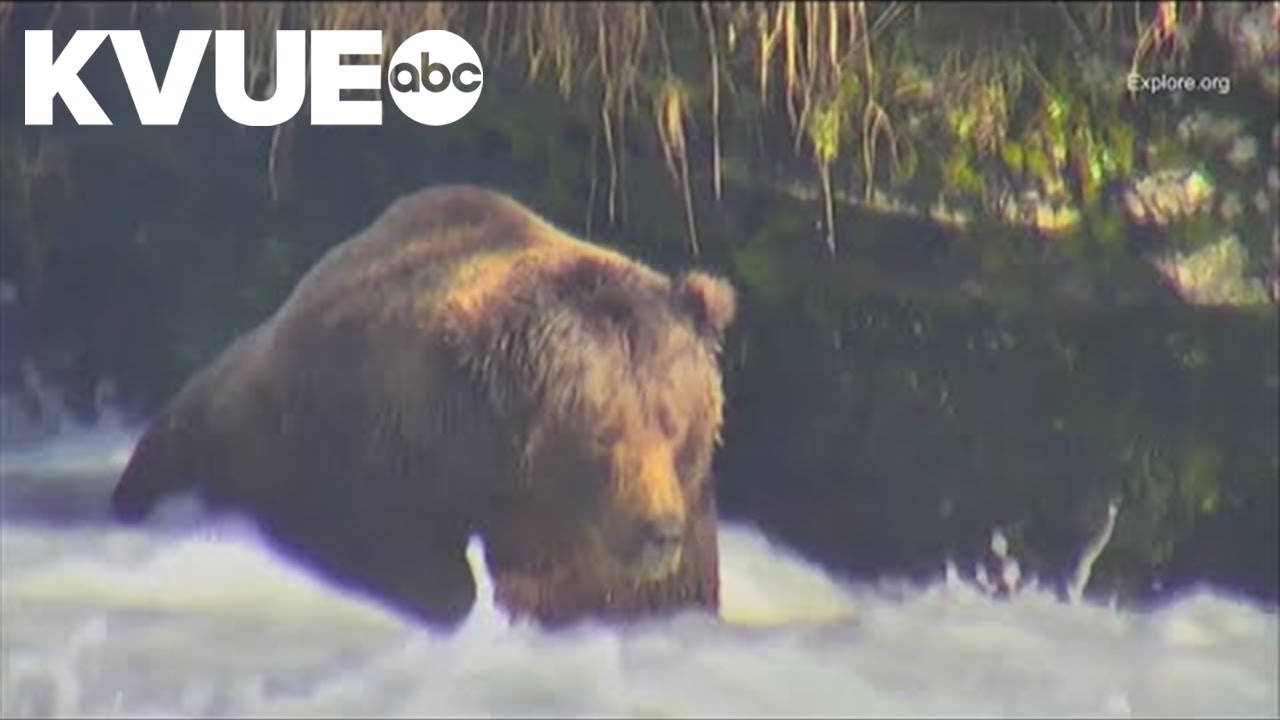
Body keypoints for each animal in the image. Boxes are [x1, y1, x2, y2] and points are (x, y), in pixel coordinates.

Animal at [110, 184, 737, 631]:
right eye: (603, 429)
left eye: (674, 423)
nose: (658, 531)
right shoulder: (355, 455)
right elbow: (402, 562)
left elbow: (628, 598)